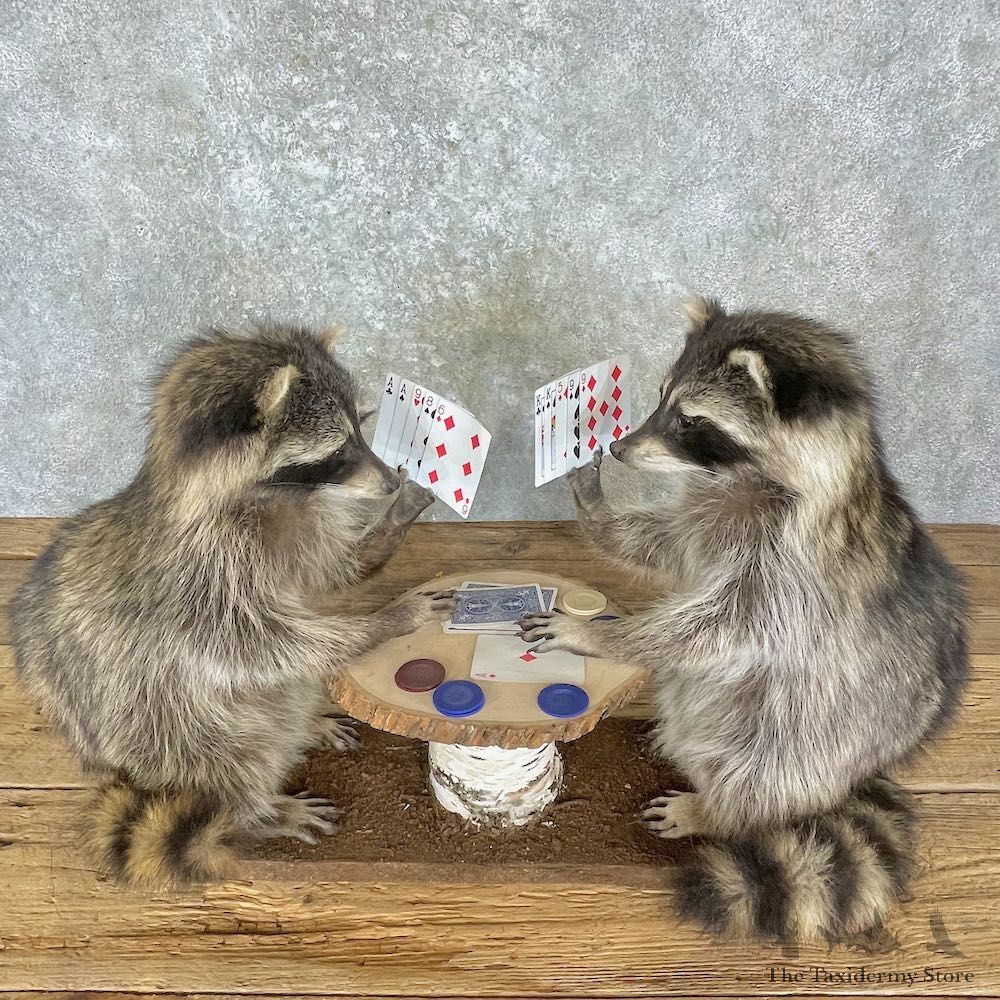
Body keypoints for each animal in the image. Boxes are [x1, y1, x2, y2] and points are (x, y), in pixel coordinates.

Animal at [10, 323, 454, 888]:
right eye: (338, 447)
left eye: (363, 426)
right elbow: (260, 646)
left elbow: (334, 570)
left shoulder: (299, 523)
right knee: (237, 752)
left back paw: (304, 723)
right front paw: (384, 622)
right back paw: (259, 809)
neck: (273, 499)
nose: (392, 481)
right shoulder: (199, 576)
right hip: (162, 729)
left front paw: (396, 516)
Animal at [519, 297, 968, 941]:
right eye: (660, 397)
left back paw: (714, 806)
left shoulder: (796, 571)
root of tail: (863, 771)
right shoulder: (706, 514)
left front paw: (606, 636)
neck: (745, 481)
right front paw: (591, 492)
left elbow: (716, 628)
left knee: (758, 770)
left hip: (812, 736)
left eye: (690, 420)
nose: (622, 449)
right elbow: (654, 546)